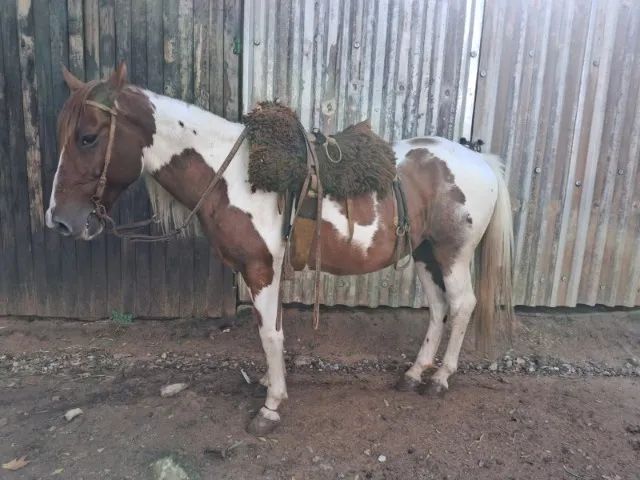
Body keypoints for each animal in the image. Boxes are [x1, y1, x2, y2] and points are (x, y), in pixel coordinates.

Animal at [46, 63, 513, 435]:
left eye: (88, 137)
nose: (59, 220)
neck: (232, 175)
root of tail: (481, 161)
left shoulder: (261, 270)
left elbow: (269, 335)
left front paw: (270, 407)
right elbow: (272, 331)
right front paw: (274, 389)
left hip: (452, 254)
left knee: (462, 304)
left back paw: (440, 379)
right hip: (424, 254)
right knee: (438, 308)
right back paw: (415, 374)